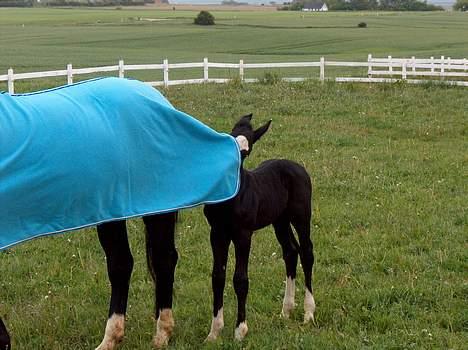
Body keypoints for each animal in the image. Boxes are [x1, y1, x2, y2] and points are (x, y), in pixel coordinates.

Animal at [204, 115, 314, 342]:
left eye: (246, 151)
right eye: (227, 139)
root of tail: (296, 166)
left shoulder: (243, 234)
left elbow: (240, 280)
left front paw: (240, 330)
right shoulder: (217, 233)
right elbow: (217, 277)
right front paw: (214, 332)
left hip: (301, 216)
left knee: (307, 252)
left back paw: (308, 313)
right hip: (280, 220)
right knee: (291, 251)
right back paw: (286, 310)